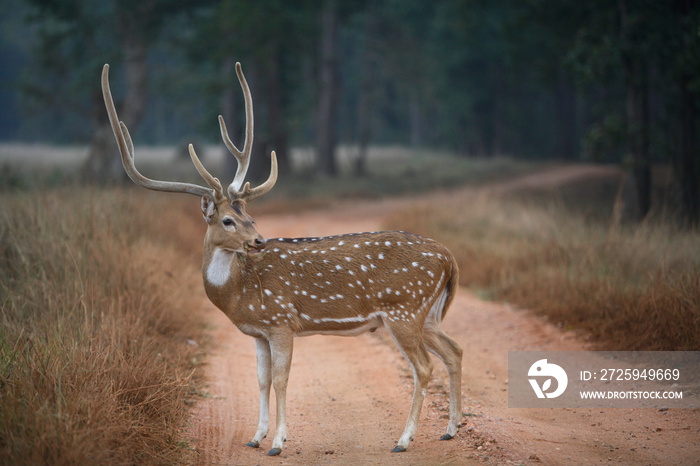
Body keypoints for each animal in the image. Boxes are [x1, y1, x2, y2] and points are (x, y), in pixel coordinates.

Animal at [98, 61, 460, 456]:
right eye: (229, 220)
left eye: (249, 217)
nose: (258, 240)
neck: (239, 292)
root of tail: (449, 258)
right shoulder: (258, 332)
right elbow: (261, 379)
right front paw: (255, 436)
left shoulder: (282, 321)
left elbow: (283, 380)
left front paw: (278, 442)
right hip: (428, 313)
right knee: (454, 350)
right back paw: (451, 429)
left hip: (404, 308)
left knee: (424, 366)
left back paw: (404, 439)